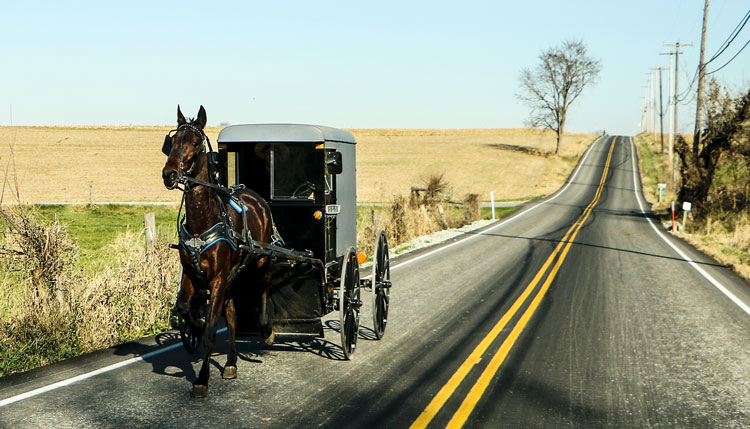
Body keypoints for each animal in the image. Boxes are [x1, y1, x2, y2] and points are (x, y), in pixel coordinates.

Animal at [162, 104, 276, 398]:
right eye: (172, 141)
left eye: (195, 142)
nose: (169, 174)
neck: (203, 221)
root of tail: (253, 195)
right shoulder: (191, 272)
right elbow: (184, 307)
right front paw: (194, 324)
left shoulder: (217, 278)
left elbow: (212, 331)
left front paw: (201, 379)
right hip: (231, 276)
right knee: (233, 313)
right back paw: (232, 362)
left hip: (260, 259)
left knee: (263, 288)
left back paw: (266, 330)